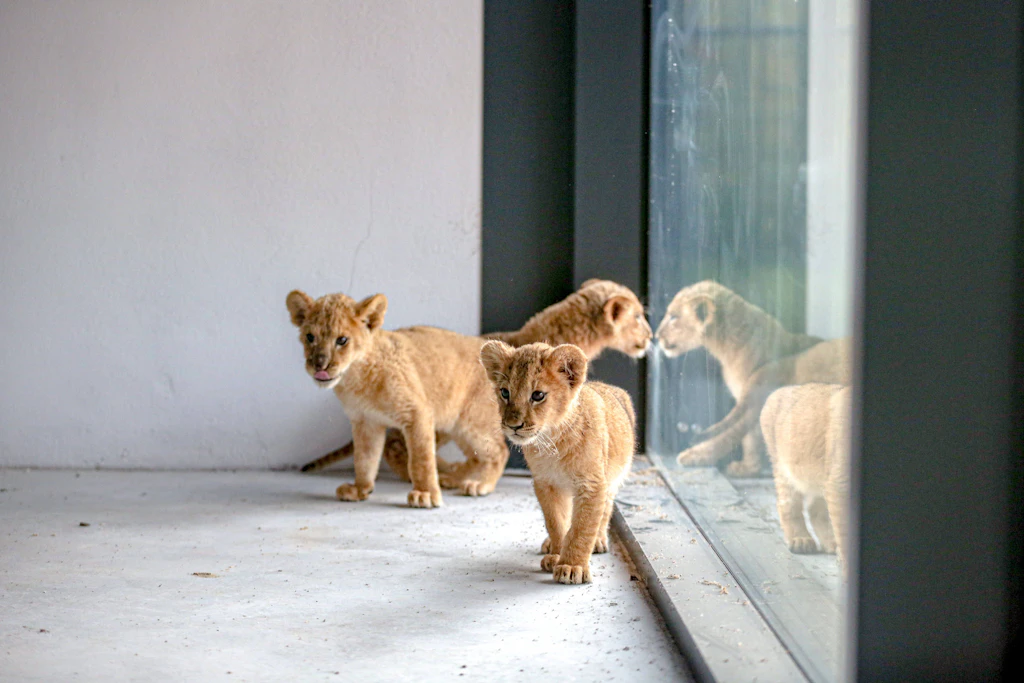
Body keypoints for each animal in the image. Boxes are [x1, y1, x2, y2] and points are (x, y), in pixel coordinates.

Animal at [286, 289, 507, 507]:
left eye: (342, 340)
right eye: (310, 337)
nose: (319, 366)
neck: (355, 379)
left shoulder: (417, 413)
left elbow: (421, 459)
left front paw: (425, 494)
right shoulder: (366, 421)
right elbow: (364, 458)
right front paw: (360, 489)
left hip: (472, 420)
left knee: (499, 451)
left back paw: (480, 484)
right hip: (456, 426)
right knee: (476, 457)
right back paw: (453, 479)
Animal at [479, 340, 635, 585]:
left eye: (538, 395)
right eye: (505, 392)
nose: (513, 426)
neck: (552, 440)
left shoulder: (592, 484)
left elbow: (582, 527)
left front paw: (572, 566)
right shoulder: (546, 483)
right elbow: (555, 521)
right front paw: (556, 554)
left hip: (612, 479)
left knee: (605, 511)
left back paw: (598, 541)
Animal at [655, 280, 850, 476]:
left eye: (673, 317)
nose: (656, 336)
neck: (727, 349)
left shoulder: (756, 396)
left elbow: (735, 434)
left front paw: (696, 456)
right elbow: (749, 437)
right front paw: (748, 467)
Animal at [760, 383, 851, 573]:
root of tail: (779, 390)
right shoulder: (839, 485)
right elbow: (846, 530)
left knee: (815, 510)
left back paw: (831, 543)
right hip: (784, 468)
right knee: (787, 505)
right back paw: (800, 539)